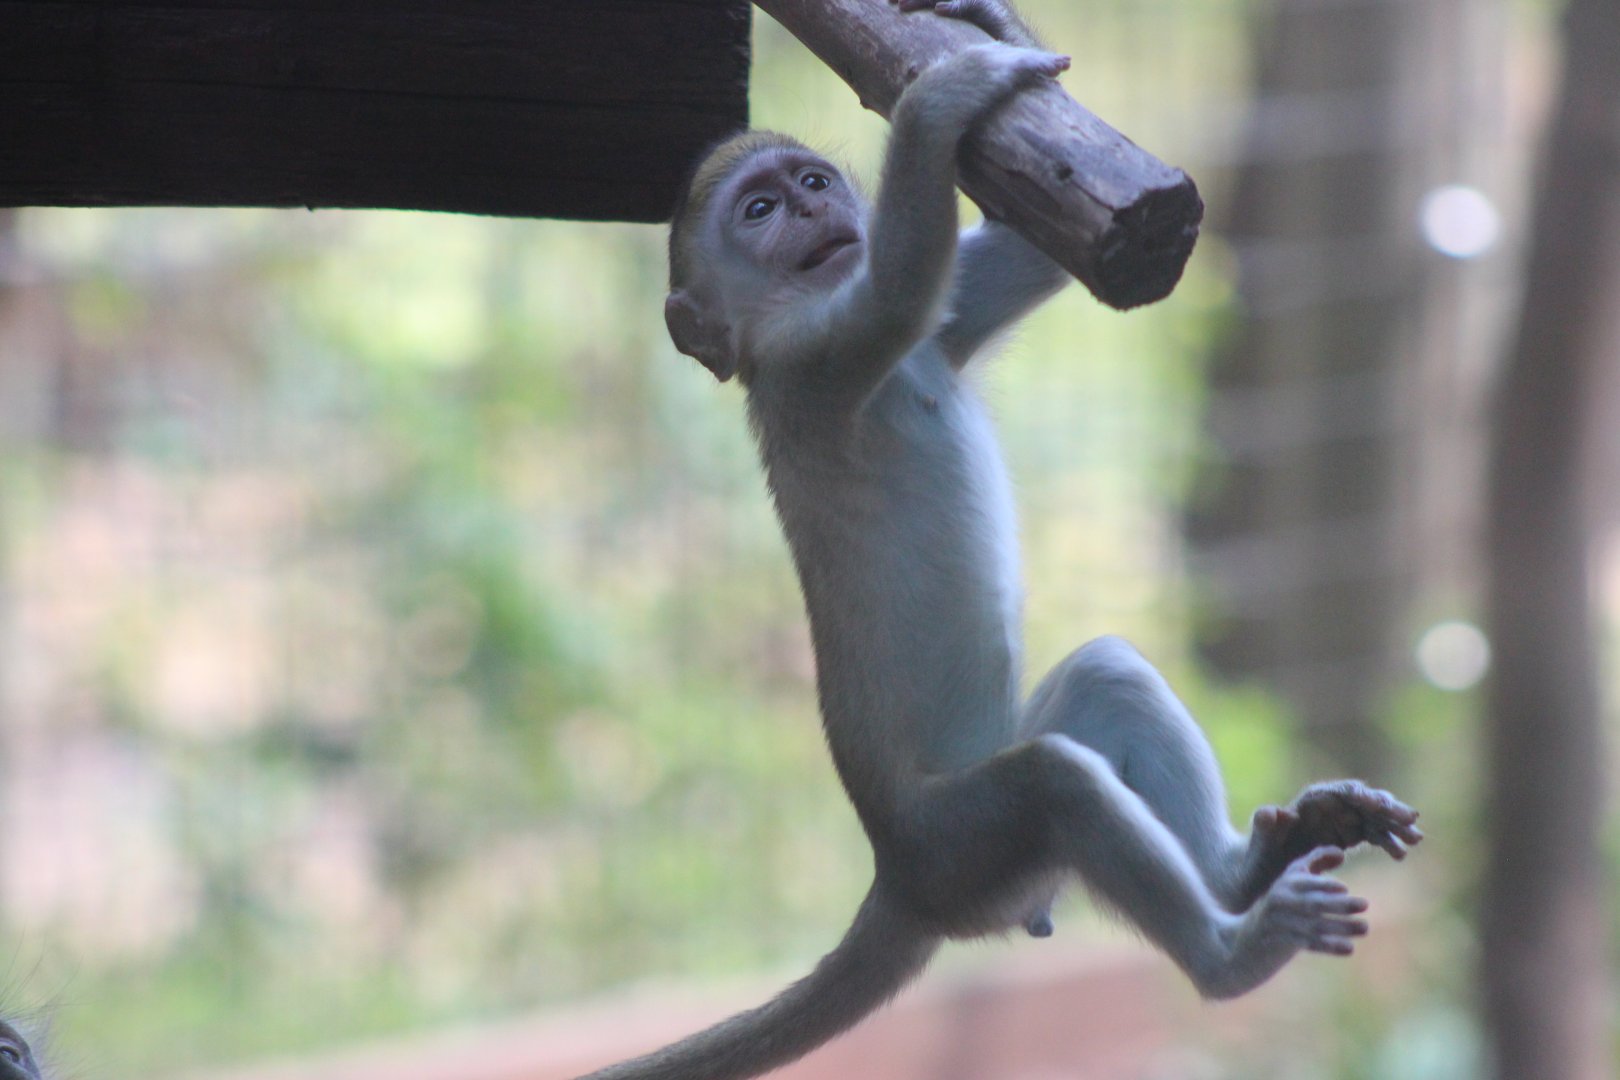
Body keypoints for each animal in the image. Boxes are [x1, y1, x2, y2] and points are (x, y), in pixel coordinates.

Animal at [585, 3, 1423, 1078]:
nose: (813, 213)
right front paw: (937, 99)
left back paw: (1244, 871)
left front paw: (986, 29)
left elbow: (1037, 251)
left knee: (1105, 679)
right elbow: (901, 284)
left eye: (811, 184)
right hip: (963, 842)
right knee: (1051, 783)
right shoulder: (810, 357)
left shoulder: (908, 332)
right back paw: (1231, 953)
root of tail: (898, 879)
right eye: (759, 210)